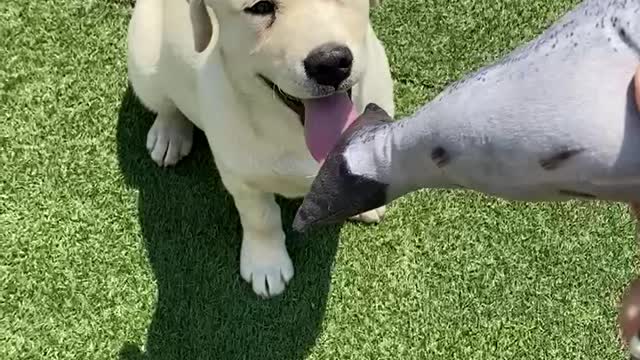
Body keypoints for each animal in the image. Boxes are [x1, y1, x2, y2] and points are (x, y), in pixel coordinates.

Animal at [127, 0, 392, 298]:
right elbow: (261, 218)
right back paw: (169, 134)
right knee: (166, 105)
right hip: (144, 63)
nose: (331, 63)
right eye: (260, 7)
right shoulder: (241, 177)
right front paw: (266, 265)